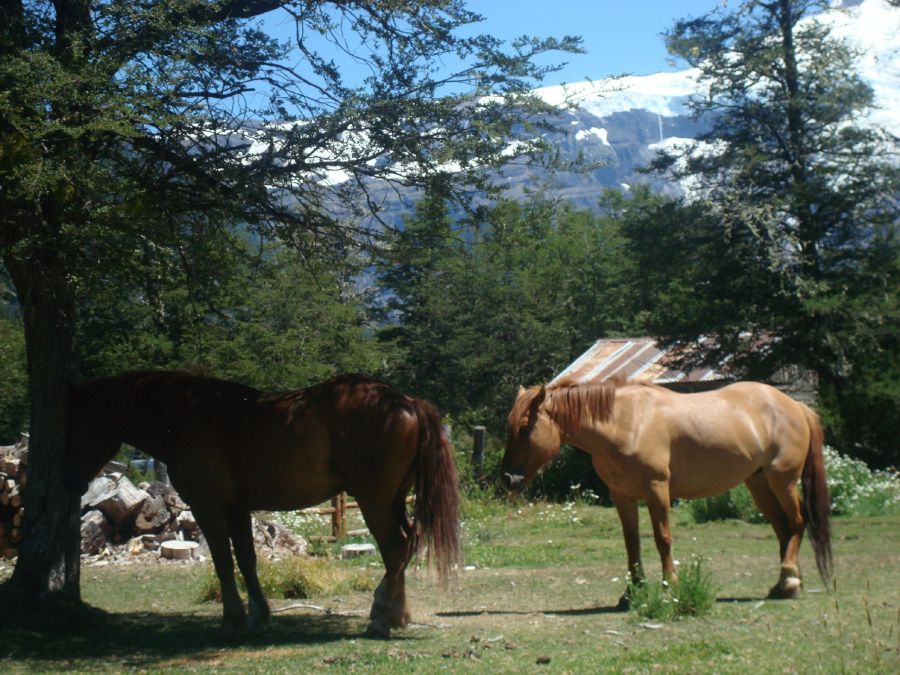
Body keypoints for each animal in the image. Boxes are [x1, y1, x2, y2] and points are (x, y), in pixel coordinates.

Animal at [64, 370, 460, 640]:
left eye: (78, 423)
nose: (73, 482)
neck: (186, 415)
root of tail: (406, 402)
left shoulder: (209, 507)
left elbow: (223, 562)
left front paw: (233, 619)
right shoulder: (237, 508)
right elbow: (246, 559)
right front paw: (259, 615)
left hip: (374, 500)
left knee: (395, 548)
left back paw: (382, 618)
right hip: (392, 500)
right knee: (406, 545)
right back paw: (397, 614)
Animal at [502, 378, 832, 604]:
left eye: (526, 427)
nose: (507, 478)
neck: (625, 422)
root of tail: (795, 405)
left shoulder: (657, 490)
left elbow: (663, 539)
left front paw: (669, 585)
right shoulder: (622, 496)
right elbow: (632, 544)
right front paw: (632, 592)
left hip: (782, 480)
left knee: (797, 522)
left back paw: (789, 581)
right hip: (759, 482)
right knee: (783, 528)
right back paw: (786, 583)